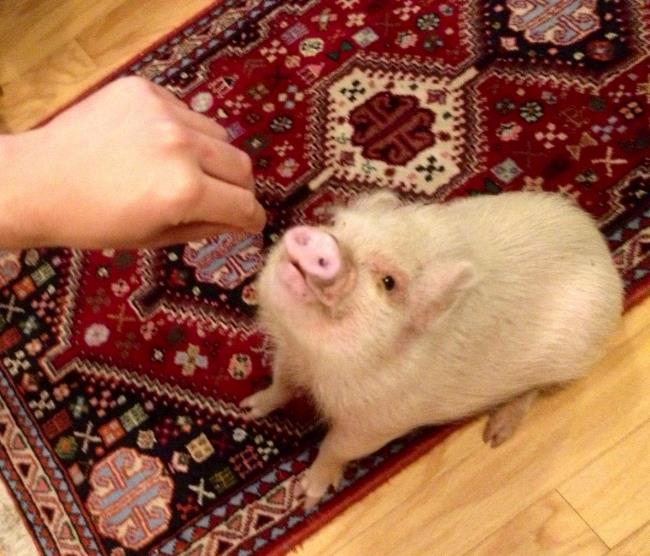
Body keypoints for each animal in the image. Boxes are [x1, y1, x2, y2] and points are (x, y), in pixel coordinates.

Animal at [240, 190, 623, 508]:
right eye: (337, 225)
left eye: (389, 283)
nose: (320, 239)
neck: (314, 360)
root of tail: (603, 253)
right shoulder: (289, 355)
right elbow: (281, 384)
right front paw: (249, 409)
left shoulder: (380, 421)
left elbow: (338, 446)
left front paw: (307, 496)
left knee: (535, 390)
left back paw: (494, 437)